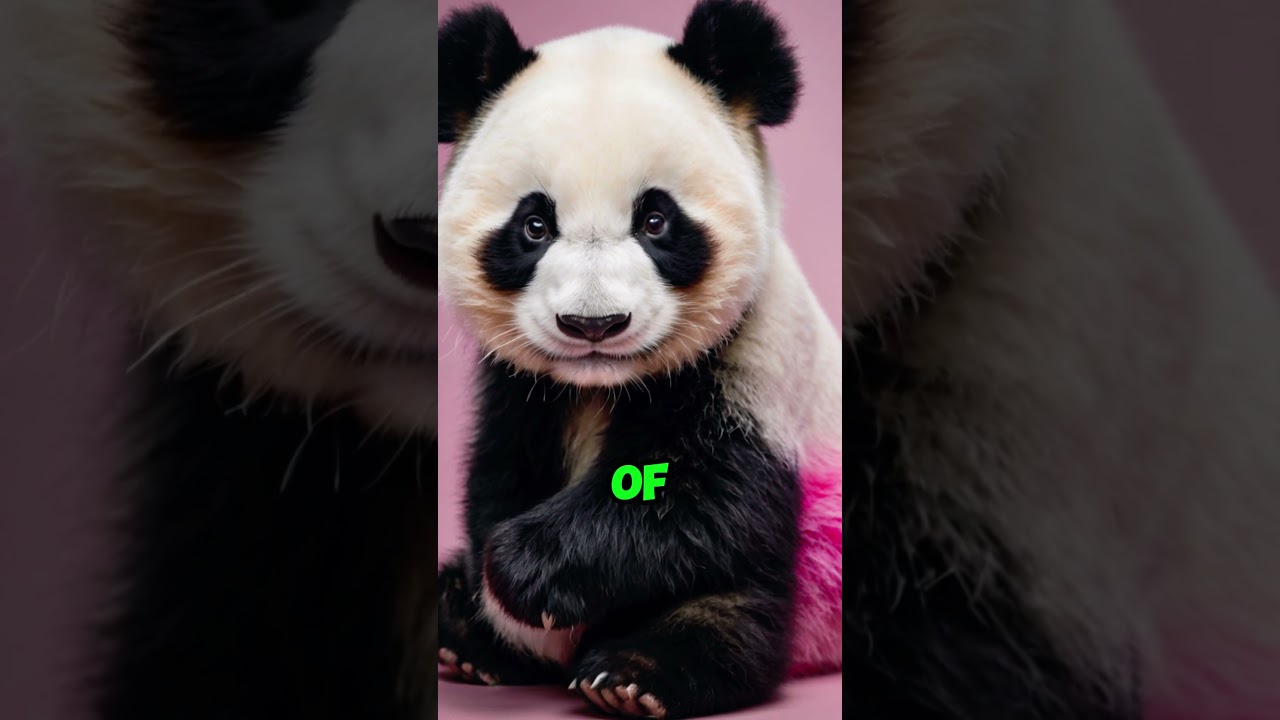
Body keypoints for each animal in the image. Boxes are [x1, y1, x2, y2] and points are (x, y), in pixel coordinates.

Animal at [435, 2, 842, 718]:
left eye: (656, 220)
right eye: (534, 225)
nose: (593, 324)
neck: (601, 385)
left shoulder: (757, 367)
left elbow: (700, 499)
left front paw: (525, 572)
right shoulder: (518, 386)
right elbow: (500, 469)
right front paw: (504, 615)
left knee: (736, 612)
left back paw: (632, 676)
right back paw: (464, 629)